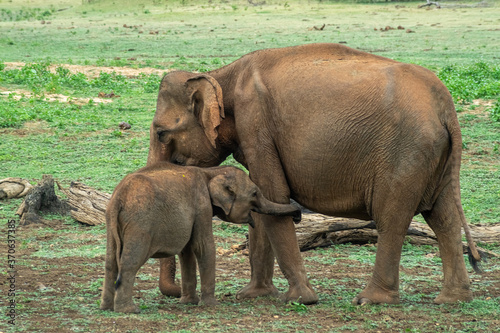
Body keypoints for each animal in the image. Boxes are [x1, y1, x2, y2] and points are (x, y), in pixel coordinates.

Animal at [99, 162, 298, 312]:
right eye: (254, 193)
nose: (298, 216)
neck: (211, 172)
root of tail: (119, 197)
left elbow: (186, 251)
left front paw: (189, 303)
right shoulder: (201, 205)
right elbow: (203, 246)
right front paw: (212, 305)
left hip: (111, 222)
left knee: (110, 262)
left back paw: (107, 308)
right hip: (140, 224)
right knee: (130, 262)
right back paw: (129, 310)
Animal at [147, 43, 480, 304]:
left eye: (161, 133)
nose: (175, 293)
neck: (220, 74)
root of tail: (446, 107)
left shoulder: (255, 123)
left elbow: (273, 194)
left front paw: (301, 299)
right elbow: (262, 202)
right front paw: (253, 295)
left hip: (406, 153)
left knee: (392, 219)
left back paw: (370, 300)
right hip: (435, 157)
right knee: (444, 218)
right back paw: (452, 299)